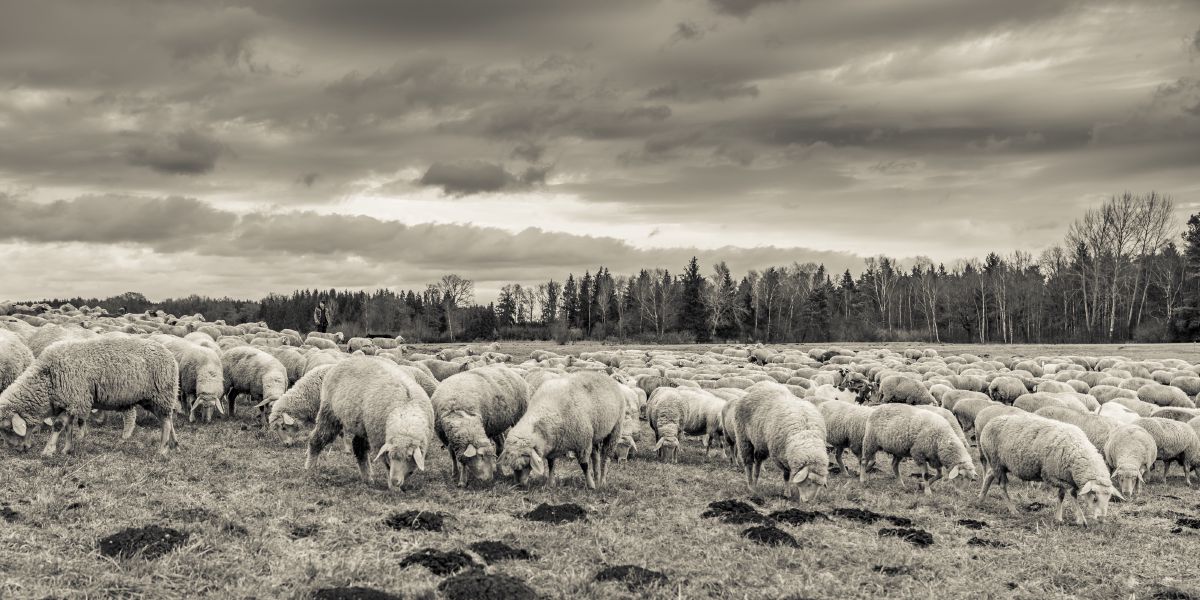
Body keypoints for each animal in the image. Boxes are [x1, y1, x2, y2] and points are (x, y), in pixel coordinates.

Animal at [0, 337, 179, 456]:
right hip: (153, 399)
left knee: (166, 422)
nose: (17, 449)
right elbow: (68, 427)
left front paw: (48, 450)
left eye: (8, 427)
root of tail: (171, 355)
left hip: (161, 395)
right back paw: (174, 444)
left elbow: (58, 425)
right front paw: (67, 449)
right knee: (168, 419)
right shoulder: (69, 403)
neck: (47, 379)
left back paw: (162, 449)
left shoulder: (76, 400)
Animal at [305, 357, 434, 490]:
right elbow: (388, 466)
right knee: (317, 439)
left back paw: (367, 478)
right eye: (390, 455)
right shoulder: (380, 441)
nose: (395, 480)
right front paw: (394, 489)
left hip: (362, 424)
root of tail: (342, 361)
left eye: (409, 456)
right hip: (330, 412)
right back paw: (310, 468)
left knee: (359, 448)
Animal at [978, 414, 1121, 525]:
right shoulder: (1050, 475)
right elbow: (1072, 493)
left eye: (1109, 498)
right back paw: (1013, 510)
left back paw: (981, 499)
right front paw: (1081, 519)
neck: (1076, 450)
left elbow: (1061, 495)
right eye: (1095, 498)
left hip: (1000, 464)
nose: (1102, 519)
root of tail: (990, 421)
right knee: (1002, 485)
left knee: (989, 474)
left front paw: (1058, 518)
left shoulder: (1062, 475)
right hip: (996, 460)